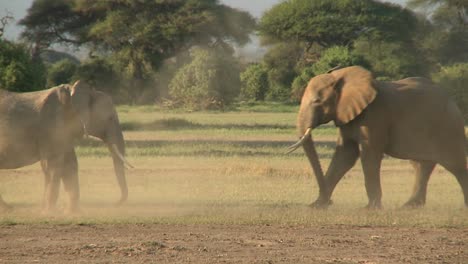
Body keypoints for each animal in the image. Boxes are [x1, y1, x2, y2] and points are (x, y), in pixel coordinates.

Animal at [0, 81, 132, 214]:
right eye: (110, 118)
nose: (115, 204)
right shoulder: (52, 127)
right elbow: (52, 166)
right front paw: (48, 213)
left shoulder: (65, 132)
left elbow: (70, 165)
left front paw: (71, 212)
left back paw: (9, 209)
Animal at [288, 65, 468, 208]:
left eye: (317, 101)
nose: (331, 202)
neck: (342, 77)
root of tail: (453, 102)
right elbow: (345, 155)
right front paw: (316, 206)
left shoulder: (375, 116)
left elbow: (369, 154)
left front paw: (371, 208)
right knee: (421, 165)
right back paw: (410, 206)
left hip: (448, 127)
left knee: (455, 166)